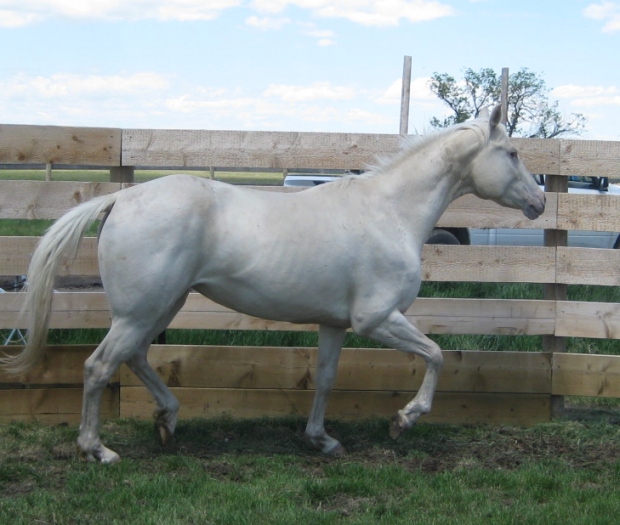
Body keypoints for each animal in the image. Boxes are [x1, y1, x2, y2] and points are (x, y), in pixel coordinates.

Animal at [1, 105, 544, 462]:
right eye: (513, 152)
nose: (539, 202)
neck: (391, 212)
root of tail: (122, 199)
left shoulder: (336, 324)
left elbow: (325, 379)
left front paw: (322, 440)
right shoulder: (377, 320)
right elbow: (435, 355)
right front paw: (403, 419)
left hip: (160, 306)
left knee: (132, 357)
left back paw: (167, 420)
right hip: (142, 311)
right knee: (98, 367)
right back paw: (99, 450)